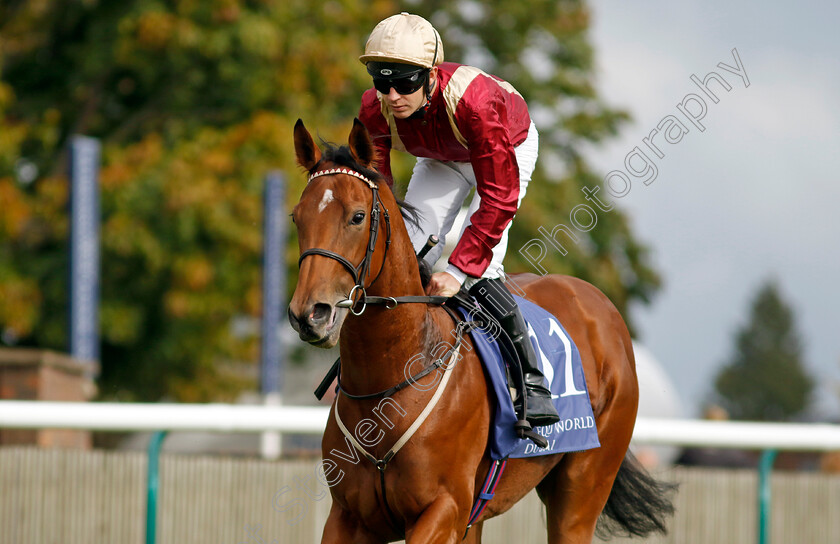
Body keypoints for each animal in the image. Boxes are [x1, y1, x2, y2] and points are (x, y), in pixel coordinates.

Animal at [286, 120, 672, 544]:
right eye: (297, 217)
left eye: (357, 217)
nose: (310, 314)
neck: (392, 380)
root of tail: (600, 304)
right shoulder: (348, 517)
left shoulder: (444, 509)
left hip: (583, 486)